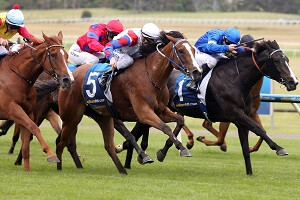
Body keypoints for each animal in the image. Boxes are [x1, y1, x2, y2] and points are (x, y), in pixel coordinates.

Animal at [0, 31, 73, 172]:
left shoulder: (28, 112)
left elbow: (27, 141)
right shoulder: (12, 109)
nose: (68, 80)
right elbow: (34, 127)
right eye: (53, 55)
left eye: (66, 55)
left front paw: (27, 170)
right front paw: (51, 155)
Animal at [36, 30, 203, 174]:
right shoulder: (144, 113)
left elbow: (179, 120)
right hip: (70, 116)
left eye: (193, 51)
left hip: (97, 116)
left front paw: (168, 151)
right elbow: (164, 128)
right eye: (181, 51)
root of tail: (68, 78)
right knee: (60, 141)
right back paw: (59, 166)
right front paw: (174, 149)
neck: (151, 75)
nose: (197, 72)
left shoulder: (160, 111)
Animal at [118, 40, 298, 175]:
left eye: (287, 60)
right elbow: (259, 129)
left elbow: (246, 148)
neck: (236, 79)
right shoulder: (236, 114)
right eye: (277, 60)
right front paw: (279, 148)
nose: (293, 82)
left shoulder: (241, 119)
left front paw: (250, 173)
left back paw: (138, 157)